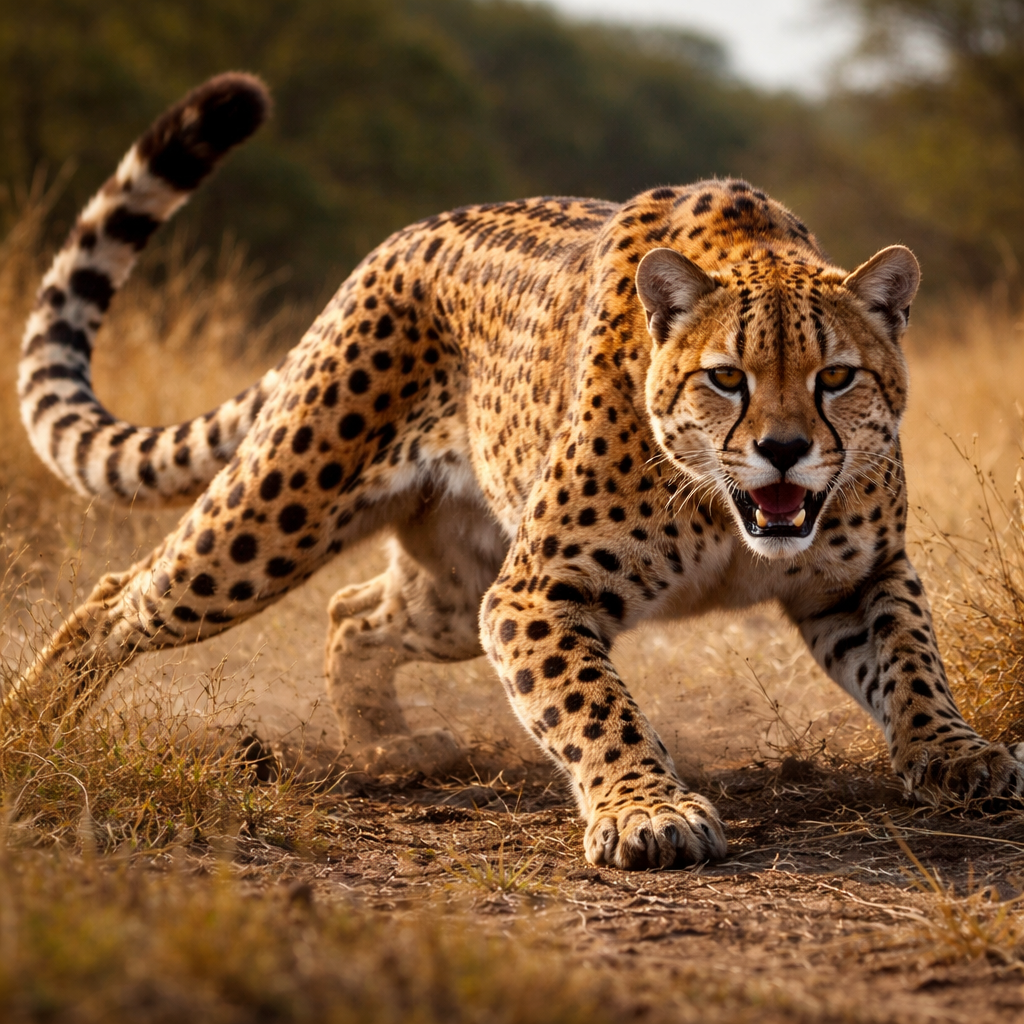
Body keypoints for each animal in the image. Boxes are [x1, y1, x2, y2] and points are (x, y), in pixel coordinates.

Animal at [9, 73, 1024, 871]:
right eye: (727, 378)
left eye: (836, 378)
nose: (783, 450)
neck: (724, 512)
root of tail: (390, 247)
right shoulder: (536, 590)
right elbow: (592, 702)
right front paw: (648, 811)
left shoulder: (861, 575)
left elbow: (912, 662)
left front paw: (957, 753)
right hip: (279, 516)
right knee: (123, 592)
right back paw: (31, 727)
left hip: (457, 589)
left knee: (352, 613)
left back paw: (388, 747)